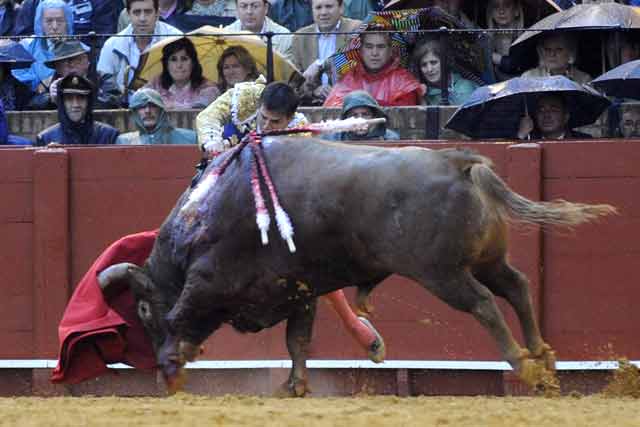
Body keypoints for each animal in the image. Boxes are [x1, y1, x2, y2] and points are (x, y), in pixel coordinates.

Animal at [99, 140, 616, 398]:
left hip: (441, 273)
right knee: (517, 286)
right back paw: (543, 357)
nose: (153, 358)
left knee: (486, 304)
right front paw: (295, 386)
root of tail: (457, 162)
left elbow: (181, 314)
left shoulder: (210, 280)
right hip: (487, 259)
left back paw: (522, 364)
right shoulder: (299, 289)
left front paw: (173, 370)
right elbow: (297, 340)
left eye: (141, 310)